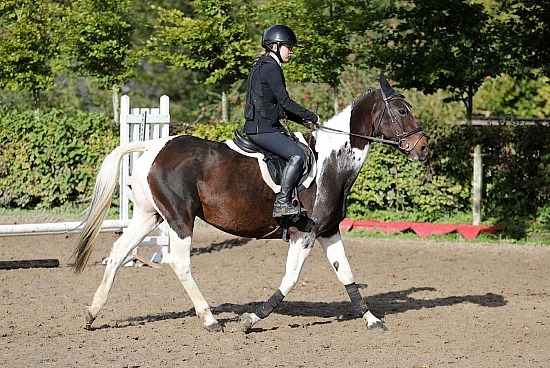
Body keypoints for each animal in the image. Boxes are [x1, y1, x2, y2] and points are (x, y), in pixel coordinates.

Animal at [72, 72, 432, 334]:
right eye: (402, 110)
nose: (423, 148)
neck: (332, 162)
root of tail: (151, 147)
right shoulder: (304, 234)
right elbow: (291, 278)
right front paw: (252, 319)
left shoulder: (328, 230)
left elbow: (346, 274)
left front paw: (372, 320)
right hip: (179, 218)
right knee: (179, 263)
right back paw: (210, 320)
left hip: (151, 216)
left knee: (119, 253)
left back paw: (91, 313)